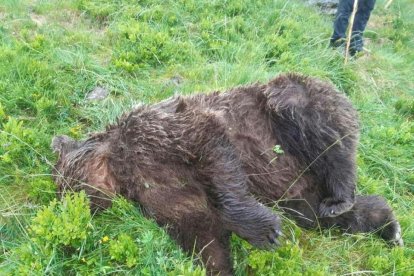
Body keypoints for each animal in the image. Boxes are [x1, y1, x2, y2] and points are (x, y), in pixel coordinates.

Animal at [51, 74, 402, 276]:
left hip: (290, 109)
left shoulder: (163, 133)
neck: (123, 168)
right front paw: (221, 265)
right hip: (299, 190)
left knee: (322, 133)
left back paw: (342, 195)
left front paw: (266, 232)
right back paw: (386, 225)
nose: (69, 206)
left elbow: (213, 154)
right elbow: (201, 234)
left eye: (65, 184)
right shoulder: (160, 193)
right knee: (320, 216)